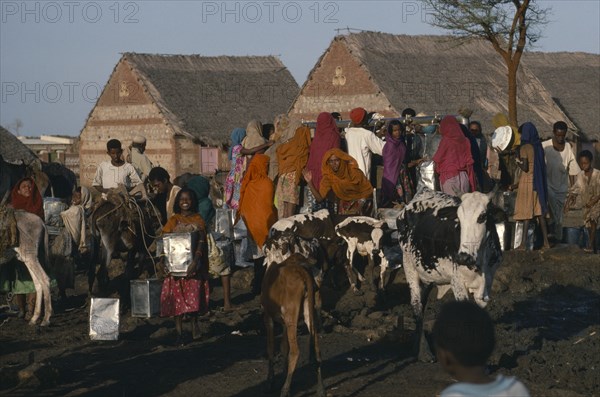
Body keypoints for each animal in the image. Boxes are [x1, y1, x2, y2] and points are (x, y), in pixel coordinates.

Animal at [260, 254, 326, 396]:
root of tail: (303, 273)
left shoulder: (268, 317)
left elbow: (271, 347)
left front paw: (270, 381)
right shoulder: (284, 322)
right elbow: (284, 347)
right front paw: (283, 374)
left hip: (291, 315)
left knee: (295, 351)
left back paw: (285, 389)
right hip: (307, 314)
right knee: (317, 350)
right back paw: (321, 388)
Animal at [398, 186, 506, 358]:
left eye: (482, 216)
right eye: (459, 219)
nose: (463, 257)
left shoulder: (488, 282)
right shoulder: (457, 283)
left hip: (427, 275)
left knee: (422, 303)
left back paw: (416, 347)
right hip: (408, 265)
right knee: (416, 304)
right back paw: (424, 352)